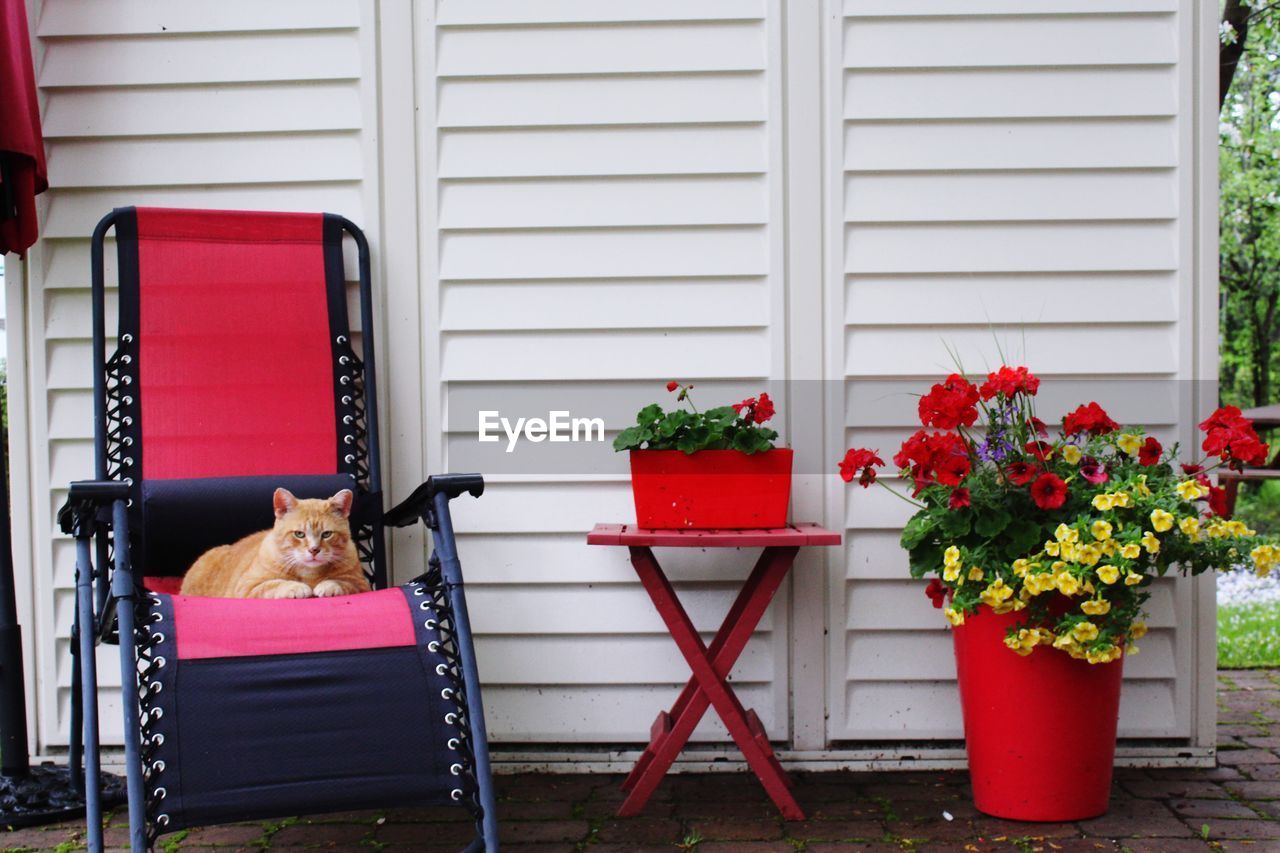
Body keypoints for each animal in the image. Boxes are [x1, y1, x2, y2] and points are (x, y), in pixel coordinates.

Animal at [179, 484, 371, 596]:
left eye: (326, 534)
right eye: (299, 534)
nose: (314, 550)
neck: (309, 574)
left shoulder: (362, 584)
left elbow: (344, 583)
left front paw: (328, 585)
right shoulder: (247, 587)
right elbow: (274, 585)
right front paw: (296, 587)